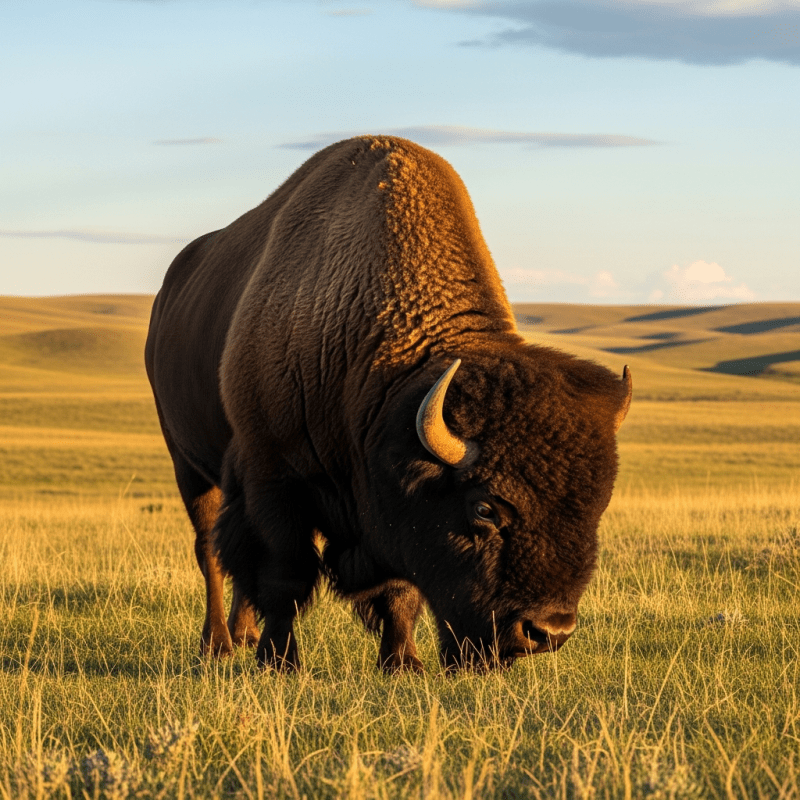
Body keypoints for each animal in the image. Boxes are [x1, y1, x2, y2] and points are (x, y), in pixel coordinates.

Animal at [145, 136, 631, 672]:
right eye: (484, 508)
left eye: (597, 505)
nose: (547, 631)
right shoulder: (270, 477)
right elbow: (284, 575)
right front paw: (281, 661)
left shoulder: (386, 508)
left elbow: (399, 588)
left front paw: (402, 662)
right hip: (187, 464)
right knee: (210, 549)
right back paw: (219, 643)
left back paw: (244, 635)